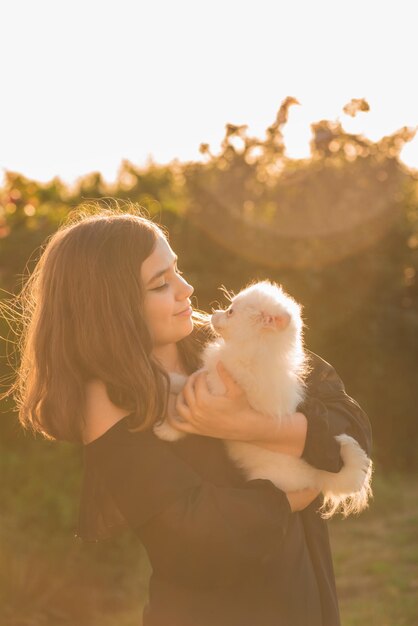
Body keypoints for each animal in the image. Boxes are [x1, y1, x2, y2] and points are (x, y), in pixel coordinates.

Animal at [153, 280, 372, 516]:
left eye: (230, 312)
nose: (213, 313)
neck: (253, 352)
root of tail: (317, 476)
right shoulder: (206, 379)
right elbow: (185, 381)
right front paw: (166, 381)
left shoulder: (211, 403)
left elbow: (185, 417)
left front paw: (167, 430)